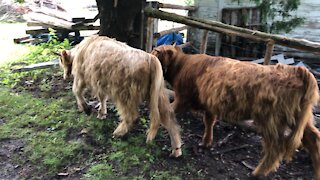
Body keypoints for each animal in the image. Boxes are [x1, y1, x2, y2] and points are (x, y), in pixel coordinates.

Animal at [151, 45, 320, 179]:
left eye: (155, 53)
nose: (149, 56)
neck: (182, 65)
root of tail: (298, 70)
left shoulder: (183, 98)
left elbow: (167, 112)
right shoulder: (210, 104)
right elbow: (209, 122)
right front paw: (206, 142)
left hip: (271, 120)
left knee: (275, 147)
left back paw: (258, 172)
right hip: (299, 119)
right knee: (313, 137)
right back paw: (317, 171)